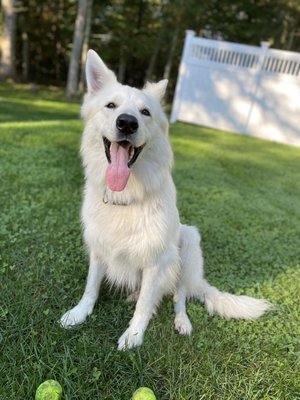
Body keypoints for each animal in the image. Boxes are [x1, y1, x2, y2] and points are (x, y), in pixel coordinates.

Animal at [61, 50, 272, 350]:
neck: (127, 195)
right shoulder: (98, 249)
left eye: (145, 112)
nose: (127, 123)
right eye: (111, 106)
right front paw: (79, 313)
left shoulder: (156, 261)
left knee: (179, 296)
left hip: (187, 244)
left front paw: (134, 336)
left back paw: (182, 322)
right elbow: (91, 288)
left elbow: (145, 305)